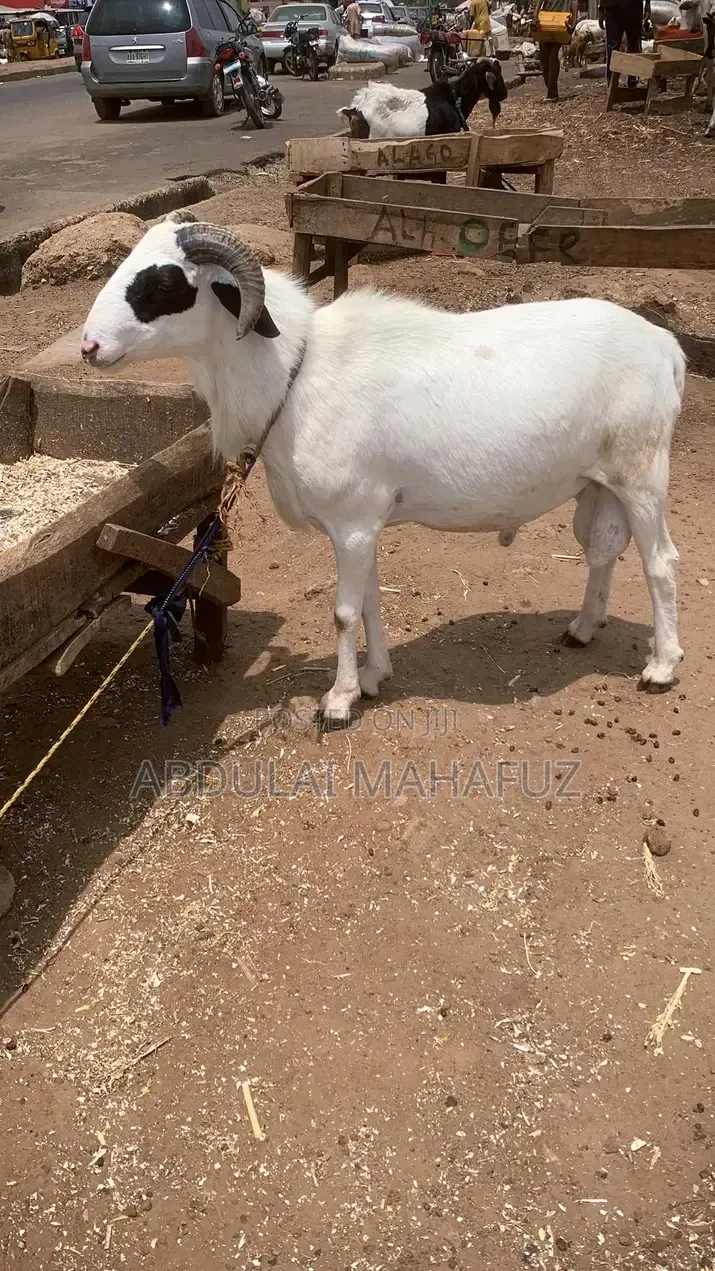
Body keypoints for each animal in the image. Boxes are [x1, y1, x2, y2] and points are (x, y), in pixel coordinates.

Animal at [81, 222, 685, 724]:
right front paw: (374, 676)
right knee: (603, 550)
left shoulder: (351, 522)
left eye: (164, 283)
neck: (295, 374)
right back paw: (583, 630)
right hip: (599, 484)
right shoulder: (364, 524)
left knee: (659, 563)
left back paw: (661, 666)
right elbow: (369, 600)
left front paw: (339, 700)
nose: (89, 346)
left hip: (642, 475)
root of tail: (667, 347)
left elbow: (345, 613)